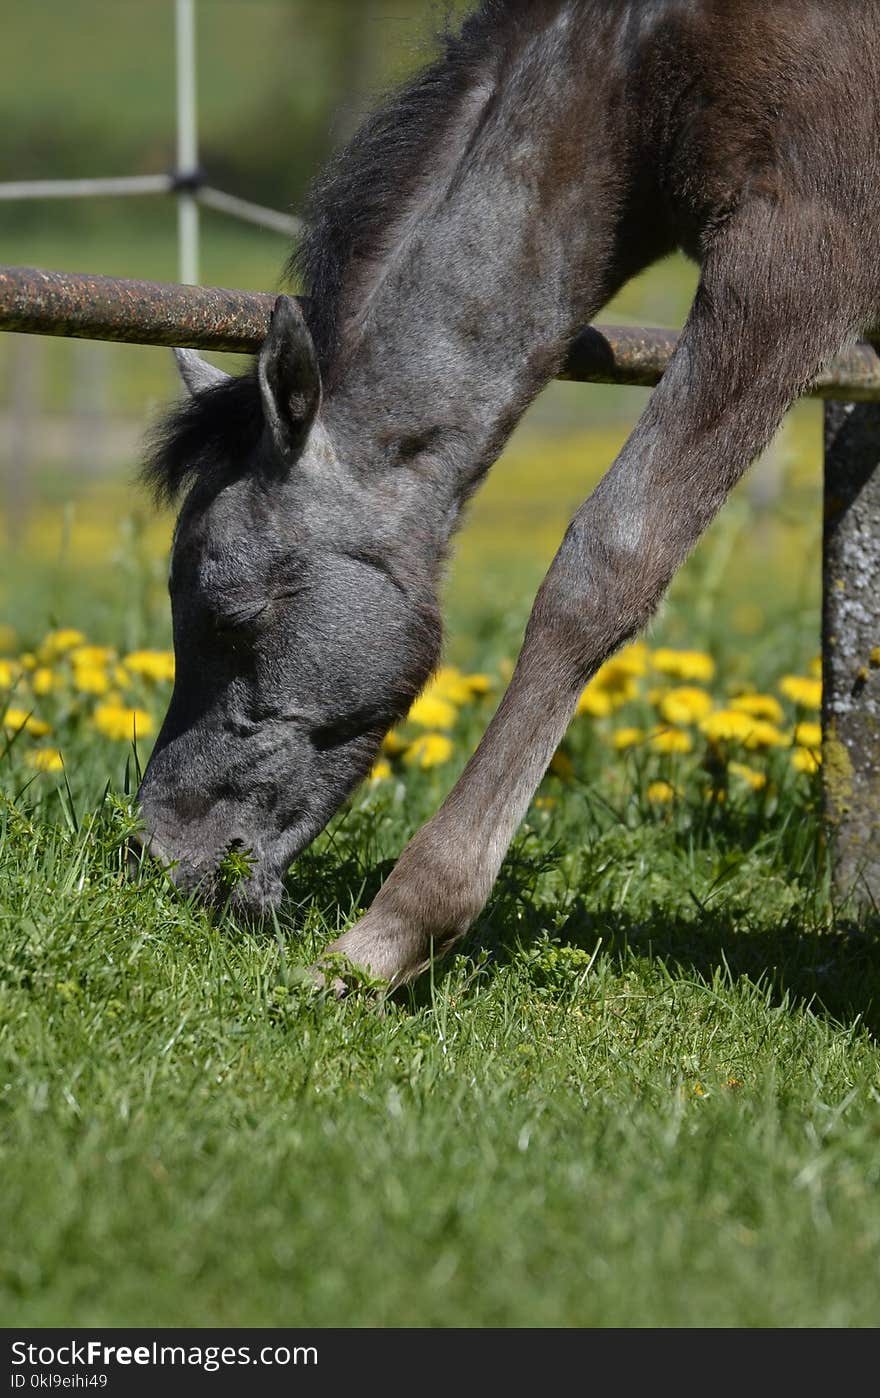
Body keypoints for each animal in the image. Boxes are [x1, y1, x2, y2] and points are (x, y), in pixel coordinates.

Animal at [137, 0, 878, 984]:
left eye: (232, 614)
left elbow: (604, 564)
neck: (643, 58)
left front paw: (387, 937)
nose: (151, 851)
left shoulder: (796, 250)